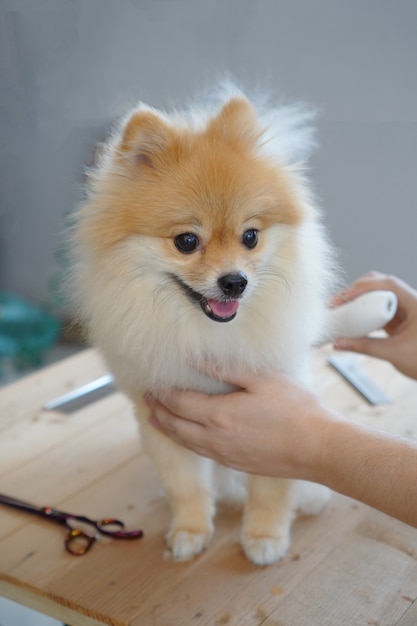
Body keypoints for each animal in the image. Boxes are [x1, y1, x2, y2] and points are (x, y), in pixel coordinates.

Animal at [70, 80, 338, 564]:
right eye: (186, 241)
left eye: (250, 236)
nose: (235, 281)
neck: (208, 333)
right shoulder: (159, 413)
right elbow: (186, 485)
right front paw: (190, 531)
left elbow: (272, 486)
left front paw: (265, 536)